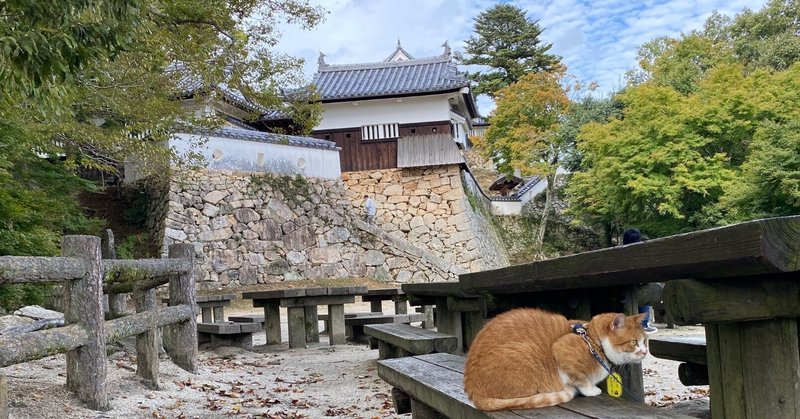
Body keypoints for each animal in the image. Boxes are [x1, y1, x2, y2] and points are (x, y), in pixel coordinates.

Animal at [466, 306, 648, 412]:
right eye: (634, 342)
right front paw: (590, 390)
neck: (593, 341)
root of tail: (473, 392)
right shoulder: (561, 349)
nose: (645, 352)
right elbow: (580, 379)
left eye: (645, 341)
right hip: (527, 352)